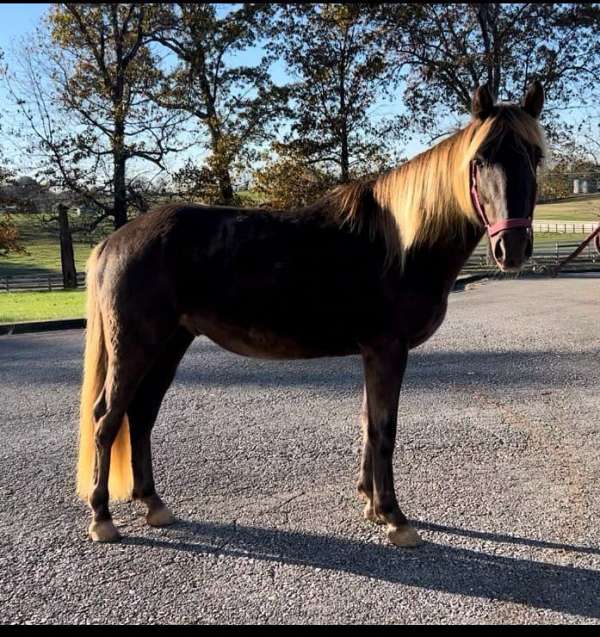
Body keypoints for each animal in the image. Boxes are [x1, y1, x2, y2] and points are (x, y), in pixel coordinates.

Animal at [77, 80, 548, 548]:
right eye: (479, 160)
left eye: (535, 156)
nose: (512, 248)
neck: (402, 244)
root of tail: (114, 241)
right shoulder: (387, 350)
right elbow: (384, 429)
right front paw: (394, 517)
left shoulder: (373, 353)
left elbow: (368, 423)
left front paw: (371, 505)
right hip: (135, 348)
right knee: (107, 419)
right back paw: (102, 518)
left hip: (169, 345)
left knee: (141, 415)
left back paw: (153, 504)